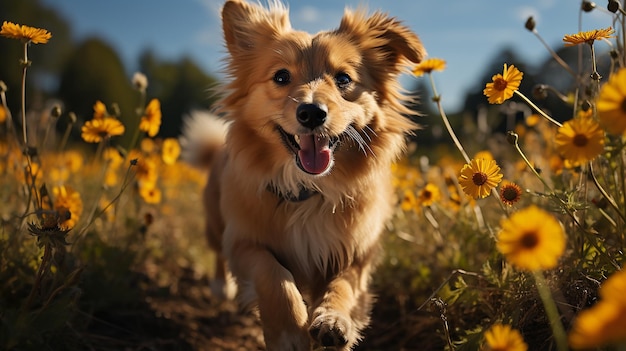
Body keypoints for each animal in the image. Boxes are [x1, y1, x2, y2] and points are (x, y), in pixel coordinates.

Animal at [180, 1, 424, 350]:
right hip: (216, 221)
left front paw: (335, 320)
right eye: (281, 76)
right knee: (217, 251)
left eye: (344, 79)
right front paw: (289, 331)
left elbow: (344, 285)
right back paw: (220, 286)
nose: (311, 112)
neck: (309, 189)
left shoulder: (357, 255)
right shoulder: (244, 243)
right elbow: (274, 275)